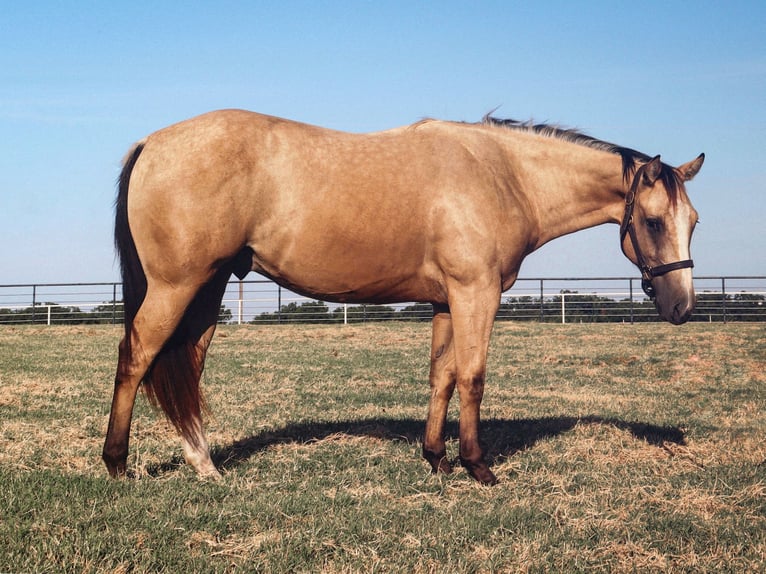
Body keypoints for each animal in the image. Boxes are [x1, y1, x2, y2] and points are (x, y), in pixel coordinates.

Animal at [103, 109, 708, 486]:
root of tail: (152, 142)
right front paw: (477, 466)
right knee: (136, 358)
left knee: (185, 366)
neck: (502, 174)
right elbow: (472, 376)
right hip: (177, 286)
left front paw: (436, 458)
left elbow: (442, 376)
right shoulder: (475, 294)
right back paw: (117, 464)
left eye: (694, 222)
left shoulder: (445, 301)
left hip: (206, 291)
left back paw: (204, 464)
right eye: (653, 221)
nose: (682, 307)